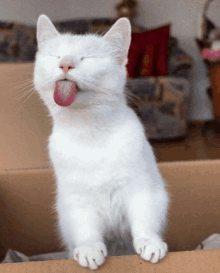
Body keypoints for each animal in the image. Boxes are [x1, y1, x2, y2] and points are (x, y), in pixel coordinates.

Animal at [33, 14, 169, 268]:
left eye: (88, 58)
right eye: (56, 55)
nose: (65, 64)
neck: (91, 134)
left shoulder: (143, 188)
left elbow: (145, 218)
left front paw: (150, 242)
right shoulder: (77, 200)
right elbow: (85, 229)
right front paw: (88, 249)